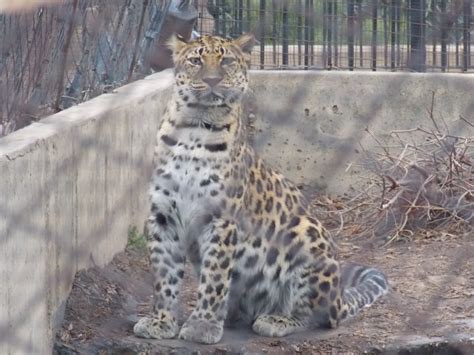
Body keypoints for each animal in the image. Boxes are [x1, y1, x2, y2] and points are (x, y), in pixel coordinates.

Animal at [134, 32, 388, 344]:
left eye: (226, 61)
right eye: (195, 61)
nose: (212, 80)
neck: (193, 129)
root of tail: (340, 299)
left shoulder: (221, 219)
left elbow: (214, 276)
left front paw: (202, 325)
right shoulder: (163, 215)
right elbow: (164, 275)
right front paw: (161, 321)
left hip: (306, 231)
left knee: (318, 317)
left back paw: (277, 319)